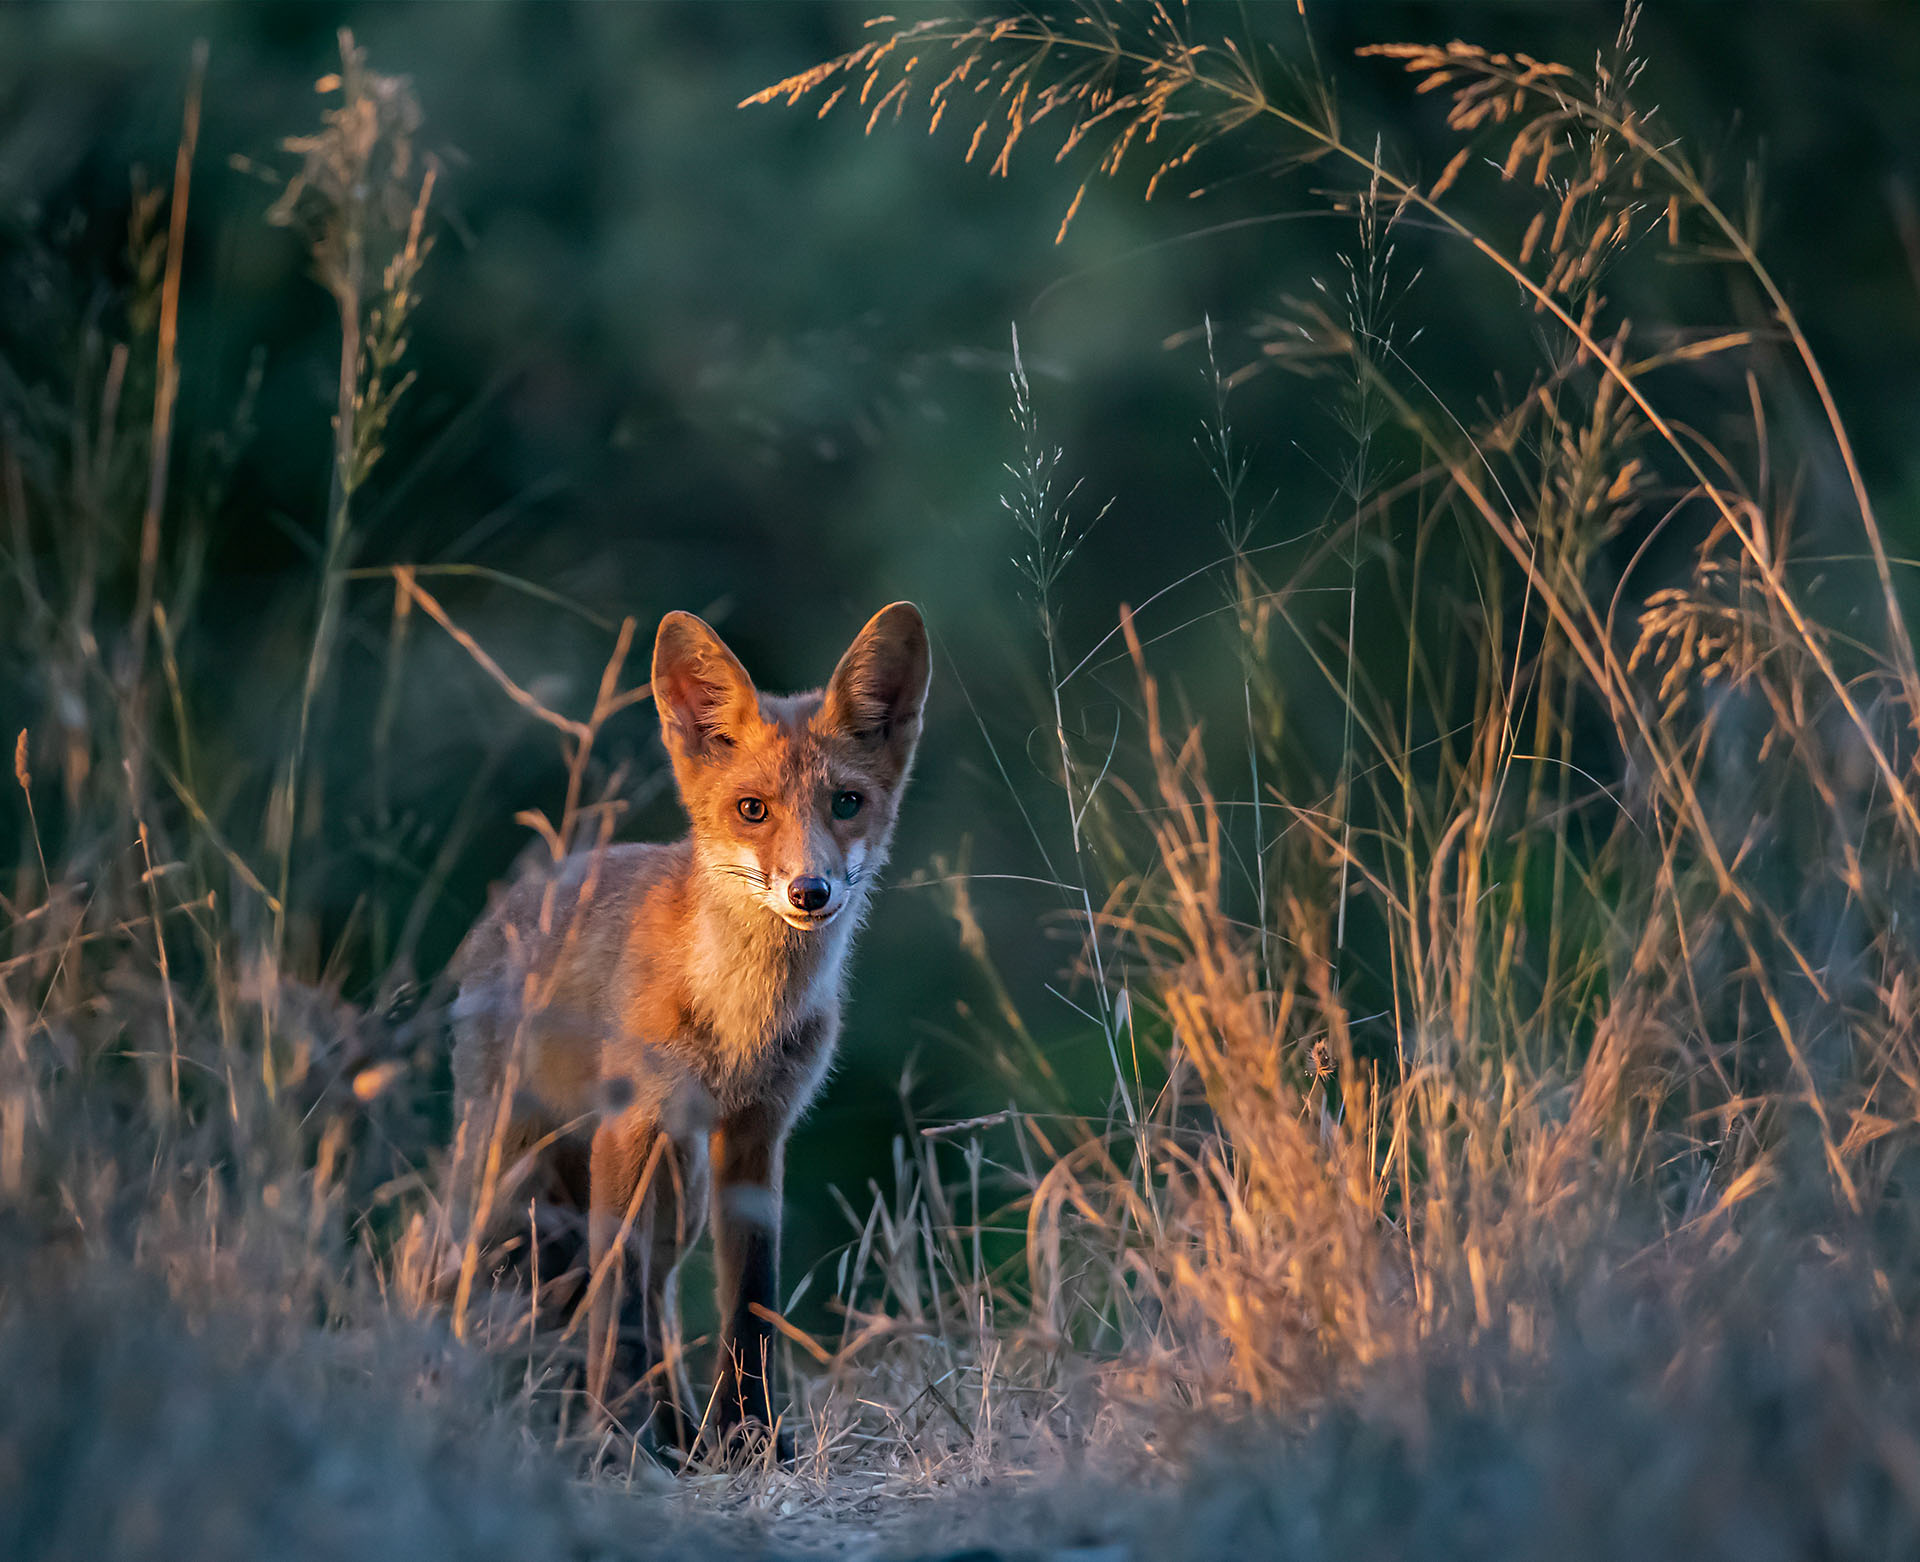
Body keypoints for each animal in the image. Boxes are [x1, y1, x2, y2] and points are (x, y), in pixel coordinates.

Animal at [449, 598, 929, 1458]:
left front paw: (752, 1439)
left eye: (846, 802)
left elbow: (750, 1304)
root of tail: (511, 900)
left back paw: (677, 1432)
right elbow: (618, 1298)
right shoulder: (627, 1126)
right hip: (512, 1172)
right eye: (752, 810)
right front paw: (617, 1439)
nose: (810, 891)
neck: (740, 1021)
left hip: (679, 1185)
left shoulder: (756, 1133)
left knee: (664, 1293)